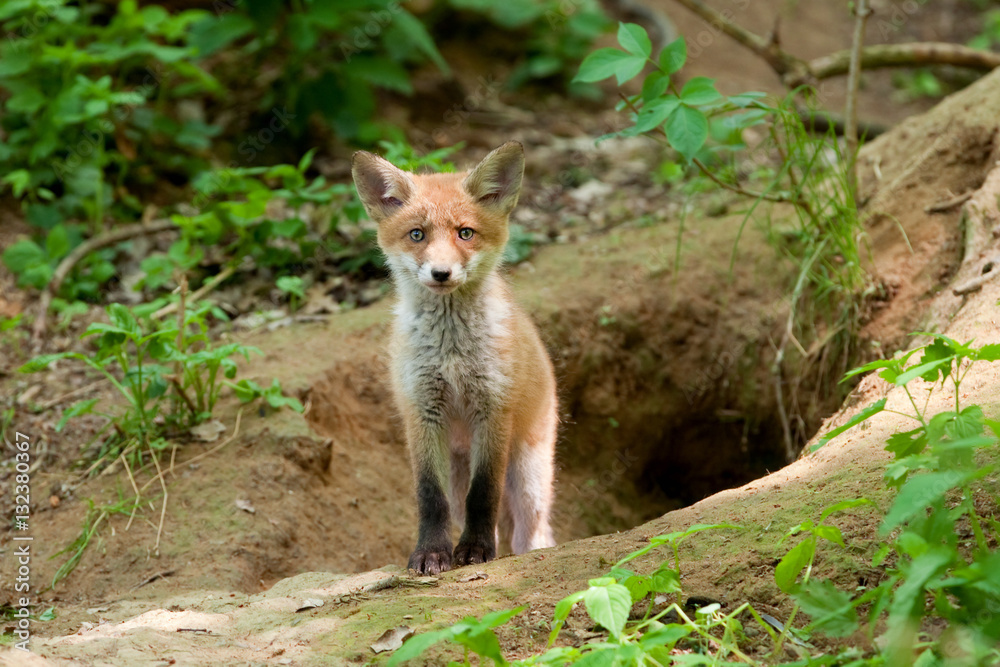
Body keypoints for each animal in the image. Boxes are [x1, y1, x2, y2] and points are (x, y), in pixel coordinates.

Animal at [350, 141, 556, 576]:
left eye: (465, 233)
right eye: (417, 234)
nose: (441, 273)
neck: (452, 352)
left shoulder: (492, 410)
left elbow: (485, 493)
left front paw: (475, 550)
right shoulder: (421, 411)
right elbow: (430, 497)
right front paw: (431, 553)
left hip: (529, 477)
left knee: (531, 532)